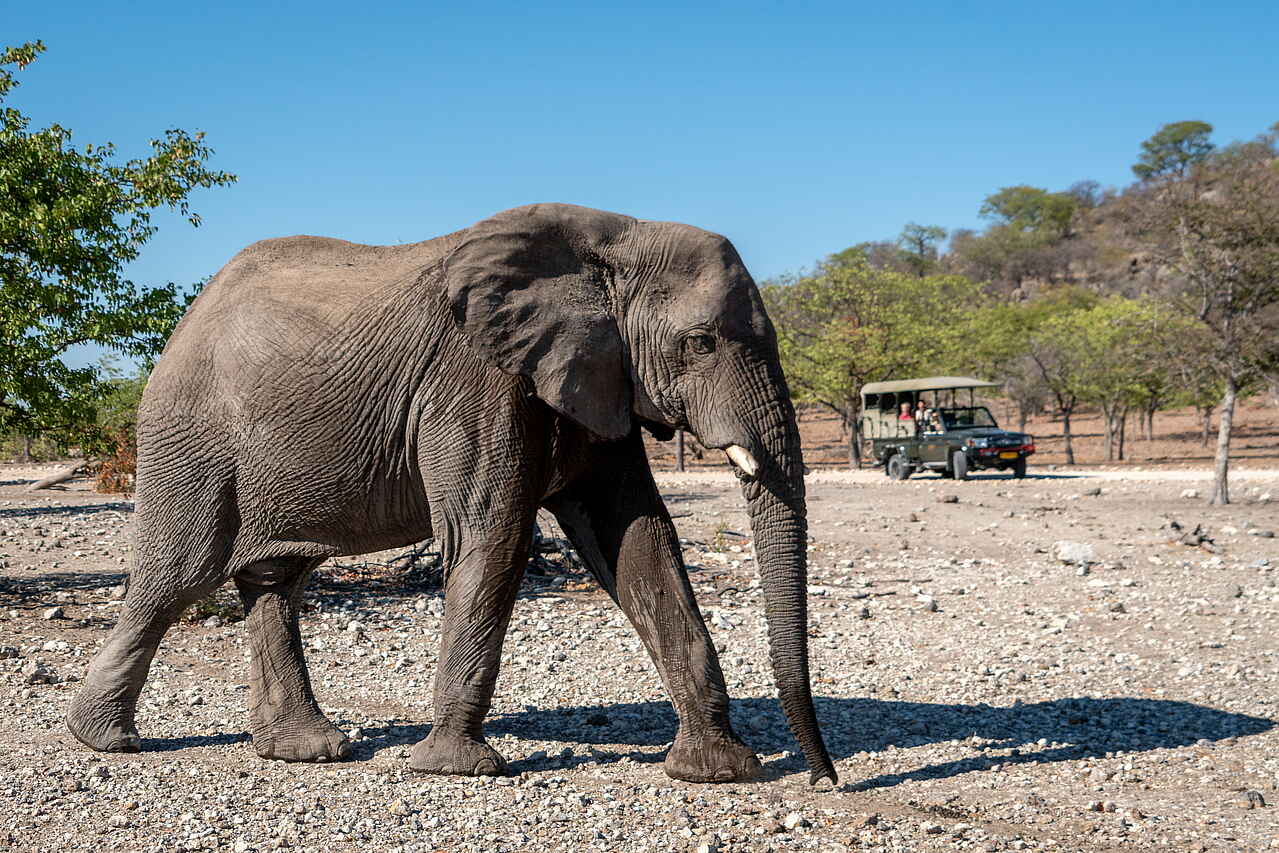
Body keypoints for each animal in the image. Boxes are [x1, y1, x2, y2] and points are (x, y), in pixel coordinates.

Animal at [66, 203, 837, 785]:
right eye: (700, 342)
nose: (825, 778)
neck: (613, 234)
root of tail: (186, 319)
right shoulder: (475, 377)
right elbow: (491, 532)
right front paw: (457, 769)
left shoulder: (595, 373)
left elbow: (638, 539)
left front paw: (717, 771)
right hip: (190, 436)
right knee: (176, 577)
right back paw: (103, 739)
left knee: (273, 579)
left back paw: (306, 750)